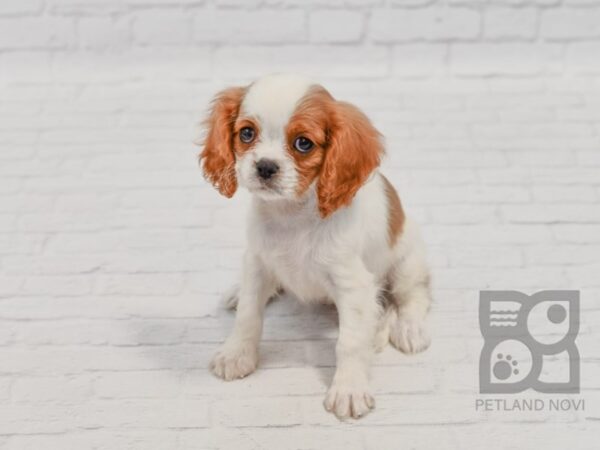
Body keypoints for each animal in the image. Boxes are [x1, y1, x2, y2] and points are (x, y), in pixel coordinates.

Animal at [200, 73, 432, 418]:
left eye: (303, 143)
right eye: (246, 133)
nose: (265, 167)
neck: (292, 215)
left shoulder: (352, 284)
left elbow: (349, 342)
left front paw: (349, 389)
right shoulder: (257, 262)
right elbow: (248, 315)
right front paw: (237, 354)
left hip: (407, 262)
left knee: (414, 295)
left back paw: (410, 328)